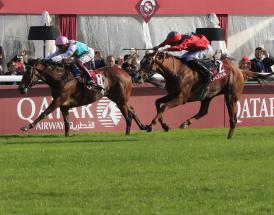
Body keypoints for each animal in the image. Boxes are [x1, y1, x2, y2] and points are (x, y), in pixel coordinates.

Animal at [139, 51, 270, 139]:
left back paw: (229, 138)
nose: (138, 75)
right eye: (141, 61)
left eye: (148, 61)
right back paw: (185, 123)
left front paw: (151, 125)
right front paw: (165, 125)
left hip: (231, 96)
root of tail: (240, 71)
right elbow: (157, 102)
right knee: (203, 111)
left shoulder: (181, 98)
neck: (176, 72)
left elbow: (164, 106)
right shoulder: (173, 94)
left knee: (233, 118)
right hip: (207, 96)